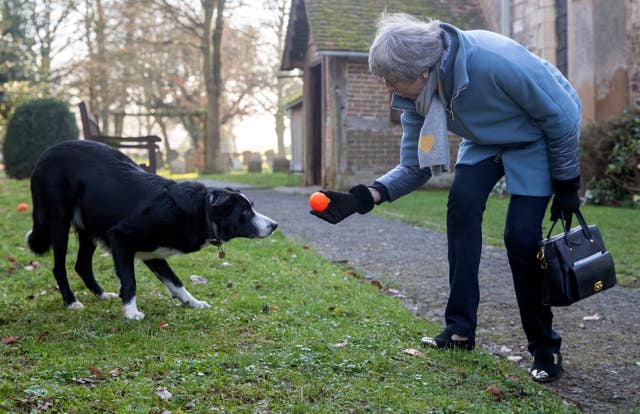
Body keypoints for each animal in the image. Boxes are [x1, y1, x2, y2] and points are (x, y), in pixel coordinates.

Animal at [28, 141, 278, 318]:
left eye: (252, 207)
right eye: (245, 212)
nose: (274, 225)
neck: (202, 210)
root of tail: (44, 156)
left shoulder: (153, 253)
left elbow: (176, 281)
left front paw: (193, 302)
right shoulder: (121, 238)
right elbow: (130, 280)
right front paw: (130, 312)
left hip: (89, 228)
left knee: (81, 265)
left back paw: (101, 294)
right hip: (58, 222)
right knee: (59, 268)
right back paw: (71, 302)